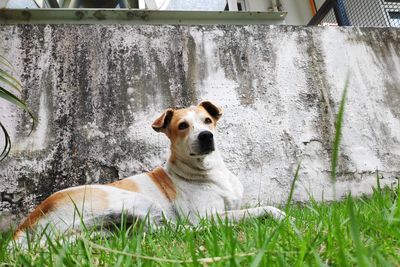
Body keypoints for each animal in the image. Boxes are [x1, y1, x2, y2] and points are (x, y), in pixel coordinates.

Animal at [12, 101, 284, 247]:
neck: (209, 172)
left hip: (99, 230)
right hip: (138, 201)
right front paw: (281, 216)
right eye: (183, 126)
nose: (206, 136)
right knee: (168, 229)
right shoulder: (208, 215)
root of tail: (27, 223)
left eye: (207, 120)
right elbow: (259, 210)